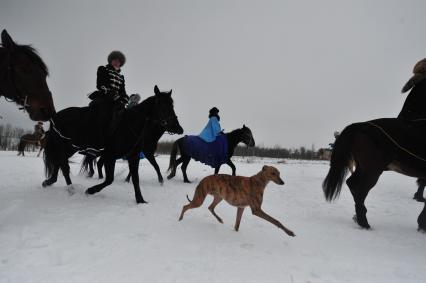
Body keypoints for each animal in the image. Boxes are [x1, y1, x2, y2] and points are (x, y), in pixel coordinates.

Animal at [41, 86, 183, 204]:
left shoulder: (134, 157)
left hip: (70, 148)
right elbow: (110, 179)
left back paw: (49, 182)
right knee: (64, 166)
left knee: (60, 163)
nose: (179, 128)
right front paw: (90, 190)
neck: (129, 127)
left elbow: (135, 178)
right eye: (161, 104)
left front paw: (140, 200)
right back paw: (70, 189)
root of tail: (54, 118)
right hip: (62, 146)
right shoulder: (111, 156)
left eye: (172, 105)